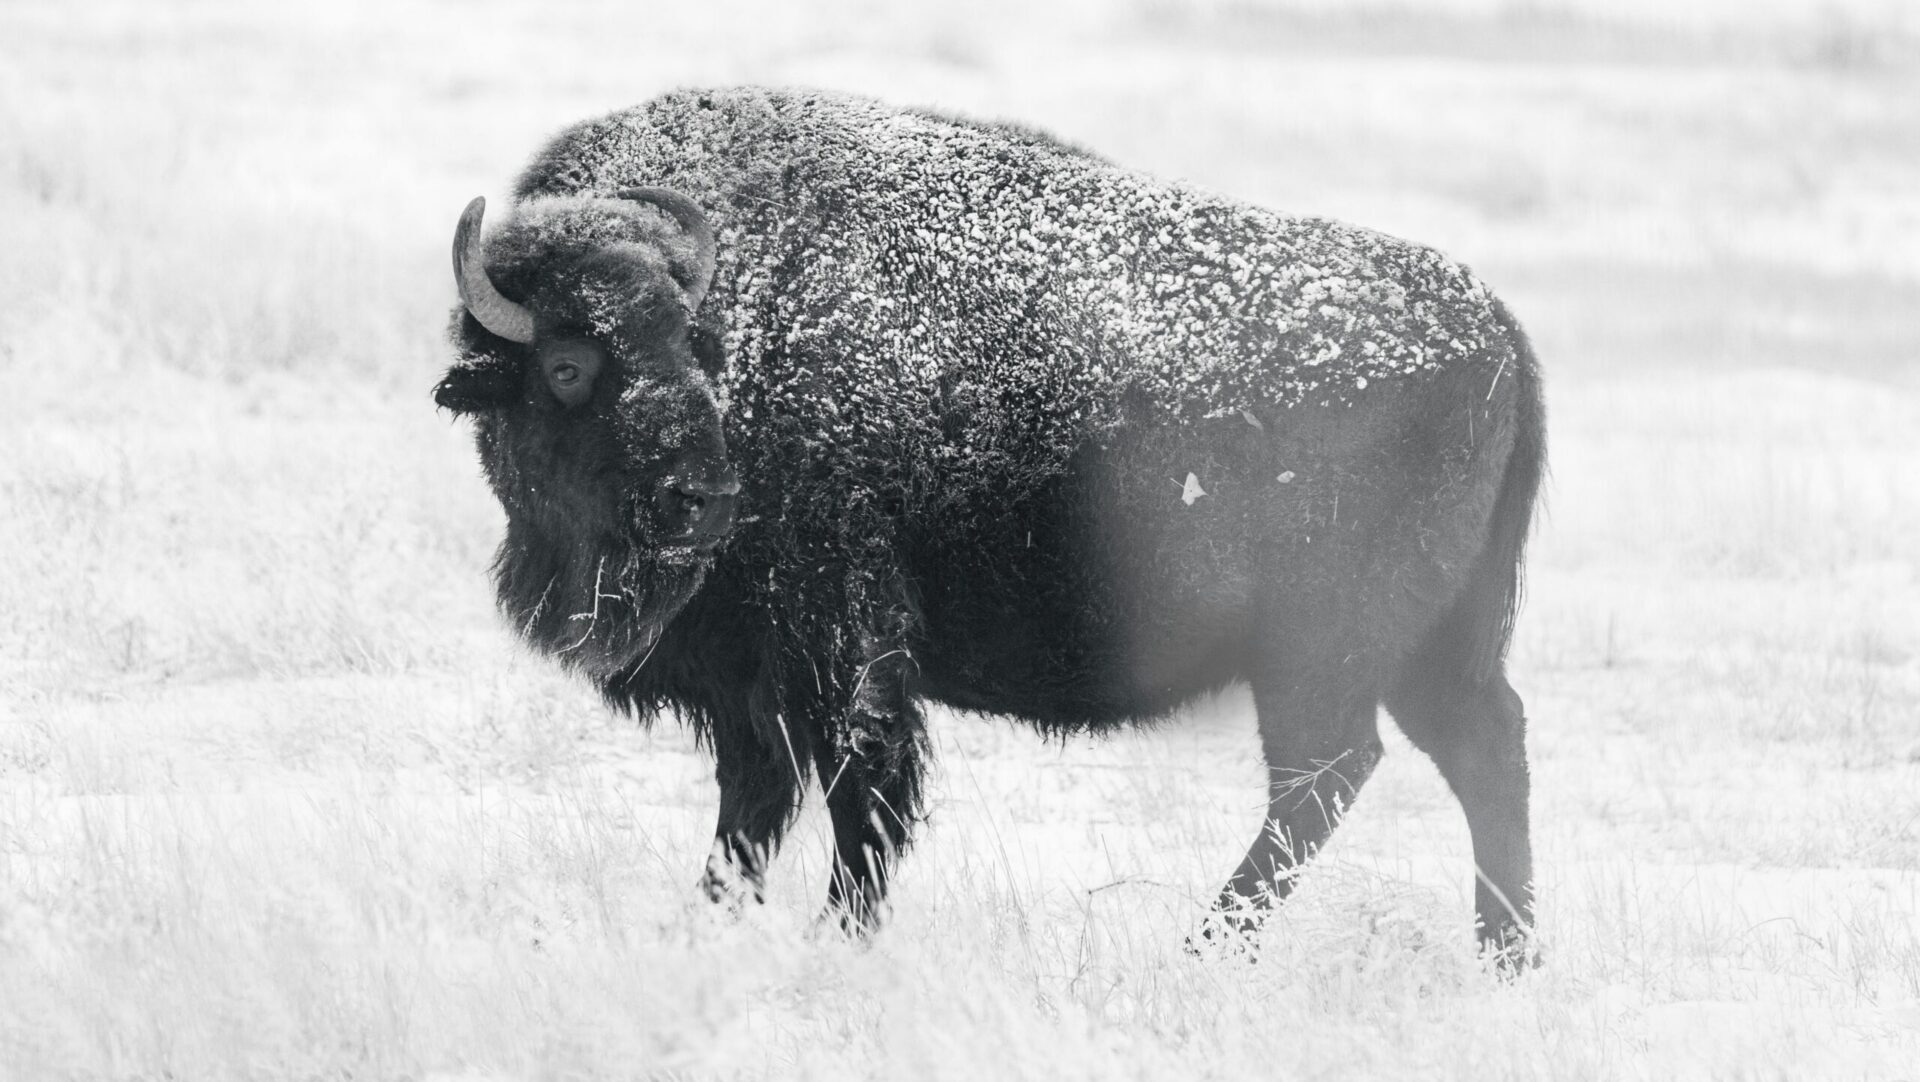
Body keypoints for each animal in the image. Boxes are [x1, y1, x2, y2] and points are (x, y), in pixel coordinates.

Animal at [435, 87, 1546, 963]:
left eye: (697, 349)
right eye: (569, 365)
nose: (698, 498)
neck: (762, 312)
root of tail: (1497, 327)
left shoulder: (839, 646)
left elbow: (859, 792)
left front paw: (841, 938)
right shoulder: (754, 686)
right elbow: (752, 817)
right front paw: (708, 927)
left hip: (1323, 657)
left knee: (1329, 777)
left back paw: (1205, 951)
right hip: (1434, 646)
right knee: (1481, 751)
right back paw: (1505, 959)